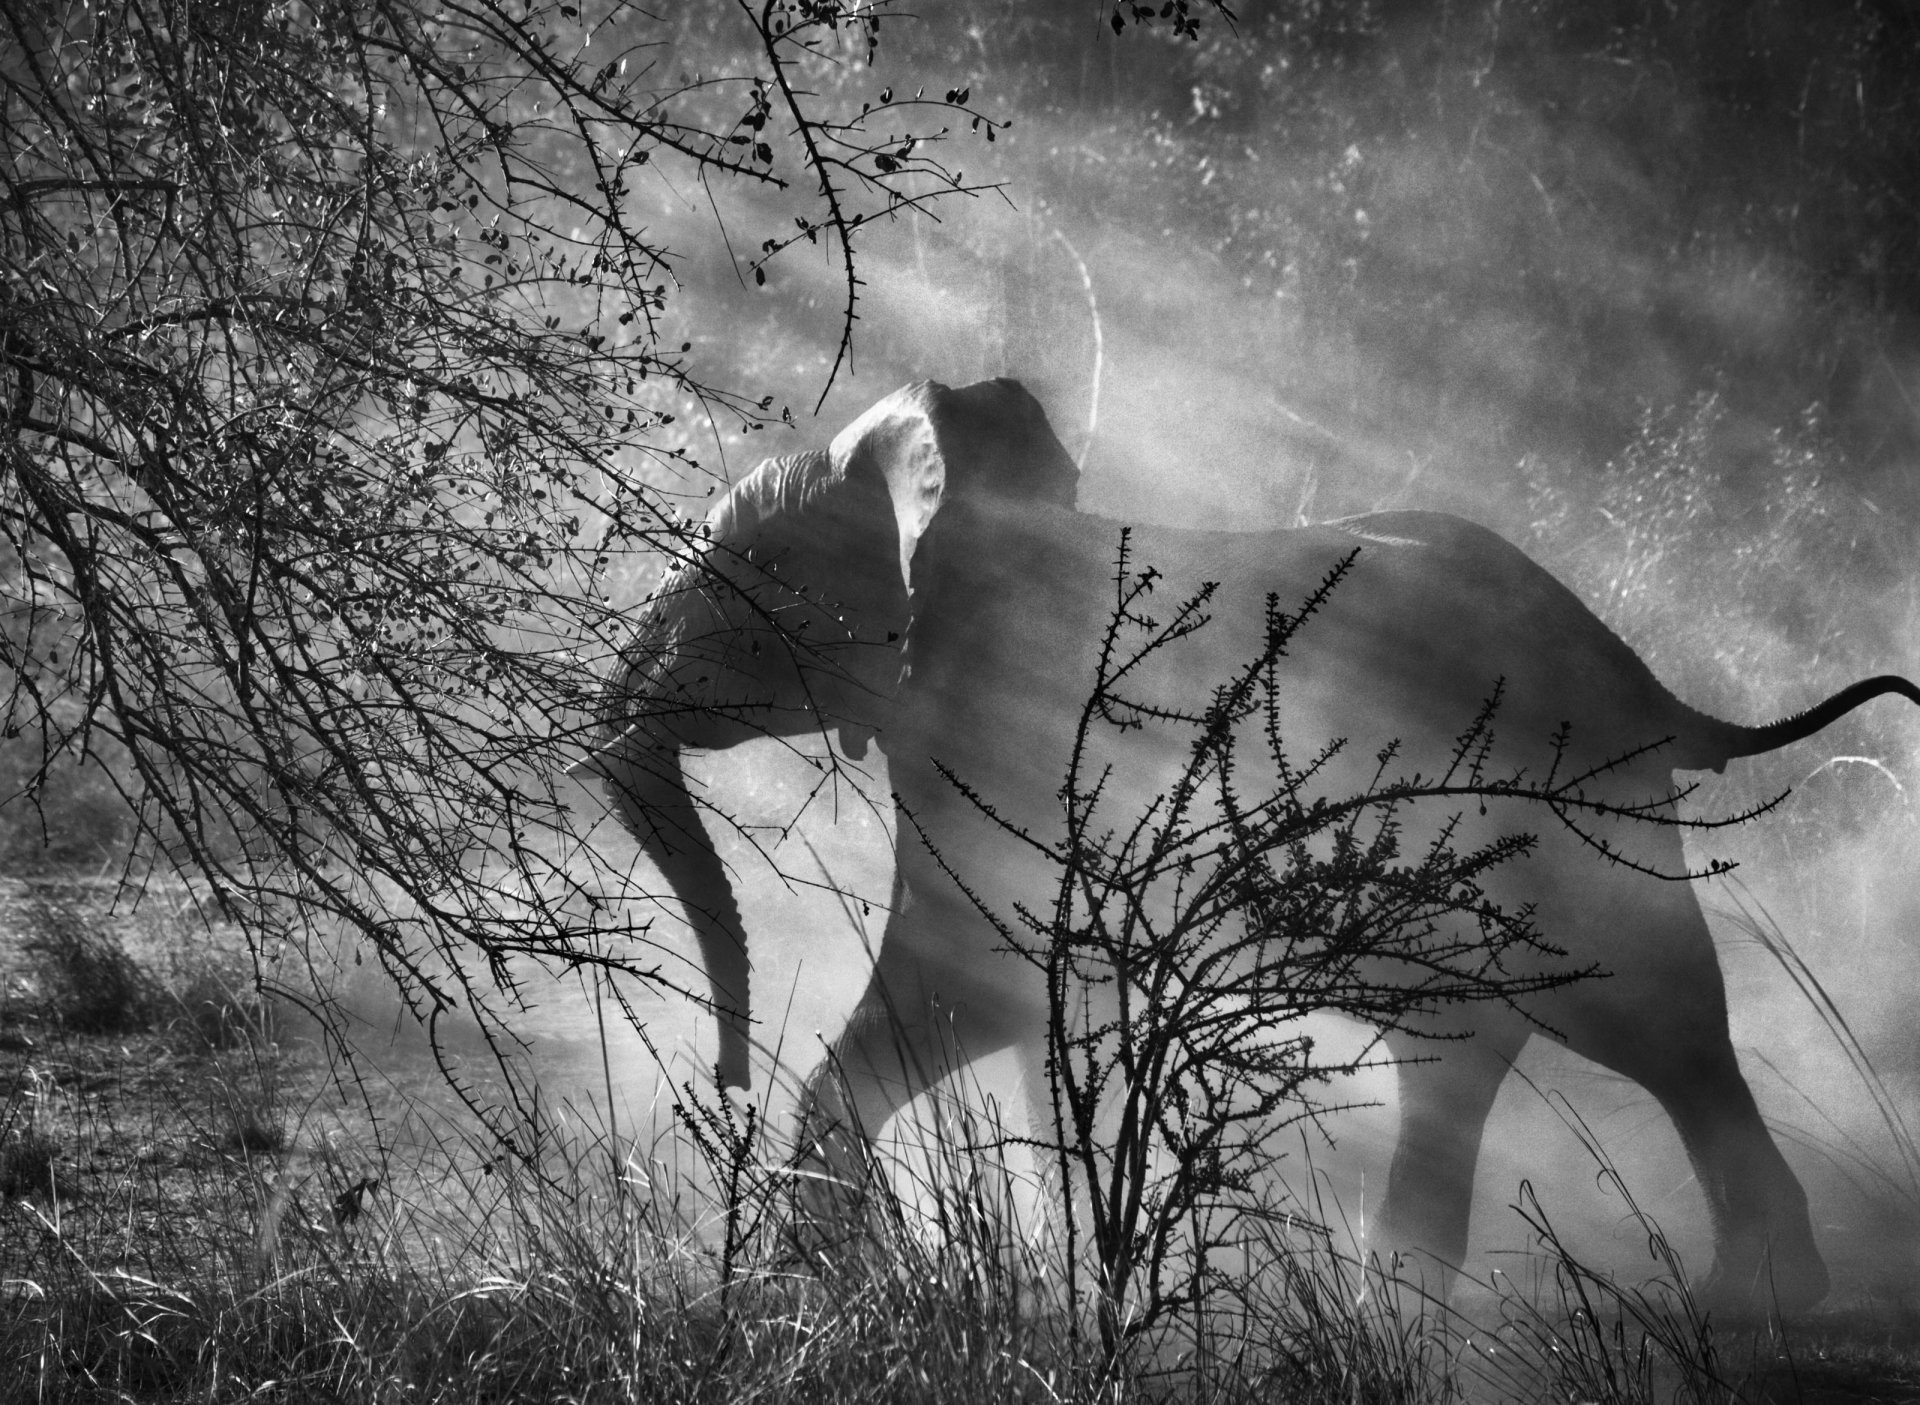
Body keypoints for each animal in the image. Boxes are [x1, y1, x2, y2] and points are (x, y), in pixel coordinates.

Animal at [593, 377, 1920, 1312]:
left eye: (737, 581)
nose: (720, 1077)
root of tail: (1653, 684)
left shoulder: (1010, 746)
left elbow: (973, 984)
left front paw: (818, 1279)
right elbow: (1038, 1012)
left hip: (1573, 821)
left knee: (1654, 1017)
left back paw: (1747, 1301)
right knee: (1480, 1046)